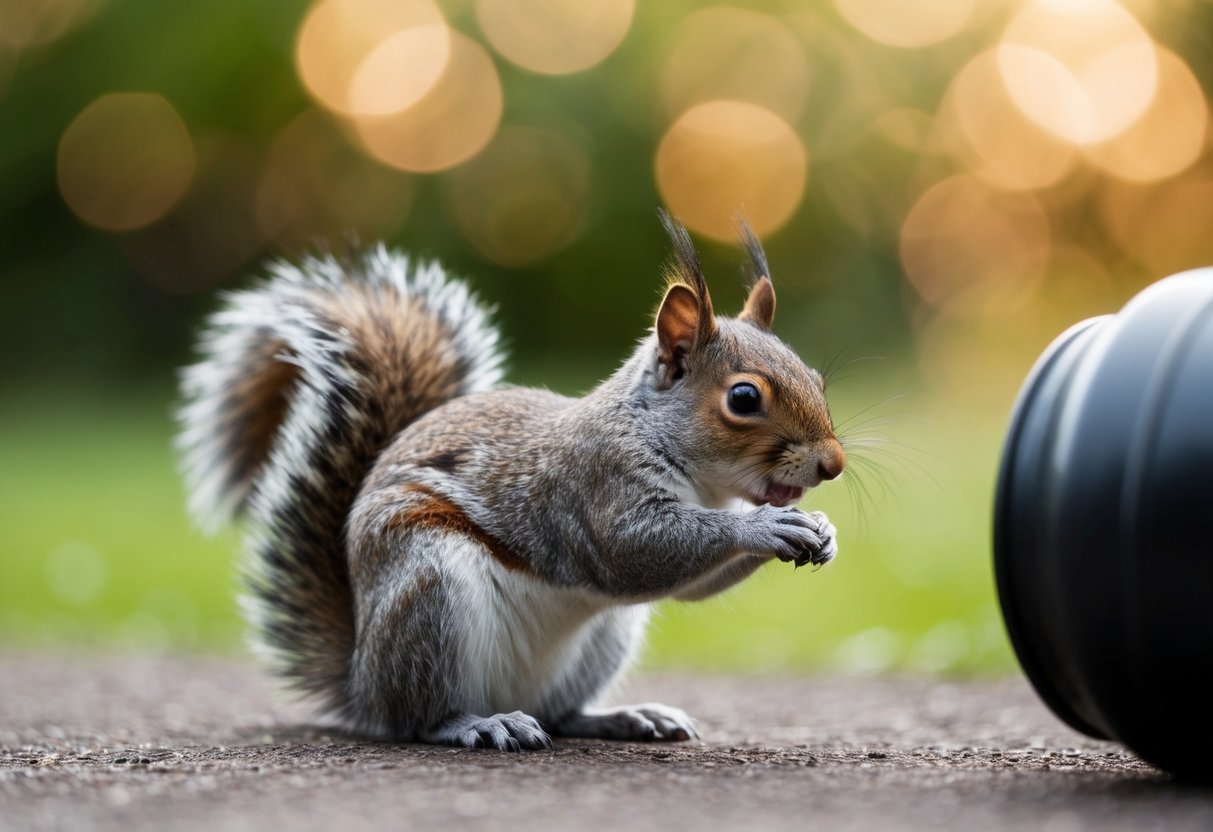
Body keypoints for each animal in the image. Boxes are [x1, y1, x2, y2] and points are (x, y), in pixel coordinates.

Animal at [177, 213, 845, 750]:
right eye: (743, 398)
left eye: (816, 378)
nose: (833, 465)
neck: (696, 476)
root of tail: (362, 682)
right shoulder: (593, 488)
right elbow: (638, 552)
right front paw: (765, 526)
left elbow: (690, 585)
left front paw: (821, 529)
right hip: (430, 589)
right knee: (418, 719)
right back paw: (478, 723)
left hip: (605, 635)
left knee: (561, 713)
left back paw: (623, 718)